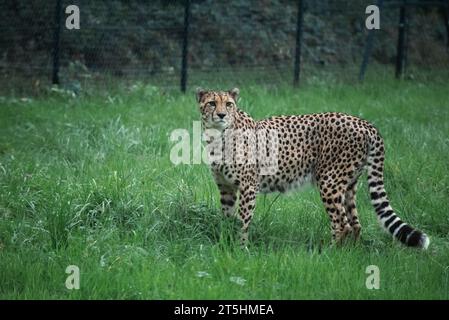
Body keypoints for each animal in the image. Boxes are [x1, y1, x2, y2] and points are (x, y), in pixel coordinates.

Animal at [195, 87, 428, 250]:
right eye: (212, 103)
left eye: (229, 104)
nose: (222, 115)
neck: (218, 136)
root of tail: (363, 122)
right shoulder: (226, 188)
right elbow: (227, 218)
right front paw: (225, 242)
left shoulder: (248, 187)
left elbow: (243, 220)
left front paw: (240, 248)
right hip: (349, 184)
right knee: (355, 222)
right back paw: (351, 254)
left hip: (329, 181)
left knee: (341, 223)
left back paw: (330, 254)